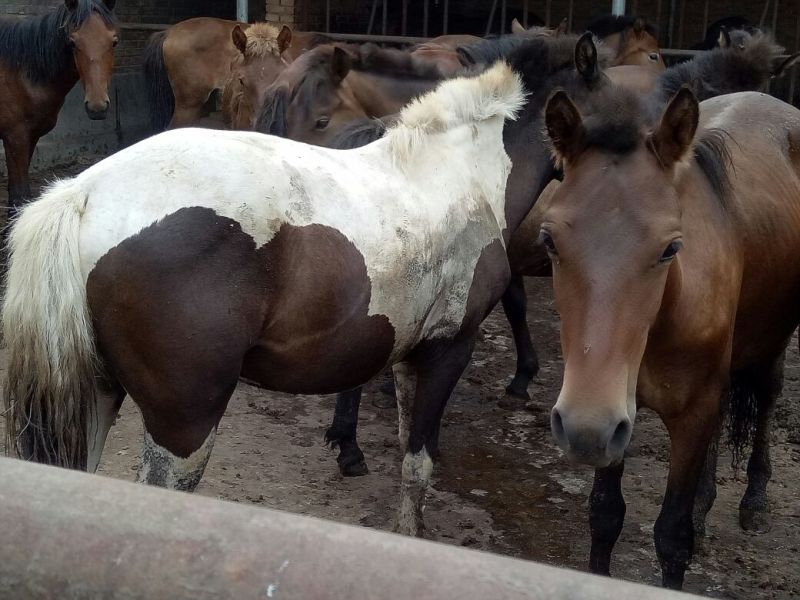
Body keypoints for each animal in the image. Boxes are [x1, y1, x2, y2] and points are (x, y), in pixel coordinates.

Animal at [0, 0, 117, 217]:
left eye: (114, 42)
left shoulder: (30, 138)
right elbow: (19, 198)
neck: (20, 74)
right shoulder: (15, 138)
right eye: (72, 42)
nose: (97, 106)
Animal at [3, 62, 525, 538]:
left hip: (98, 394)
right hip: (185, 422)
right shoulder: (451, 348)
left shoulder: (411, 354)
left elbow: (405, 441)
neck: (451, 171)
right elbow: (418, 465)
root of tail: (82, 193)